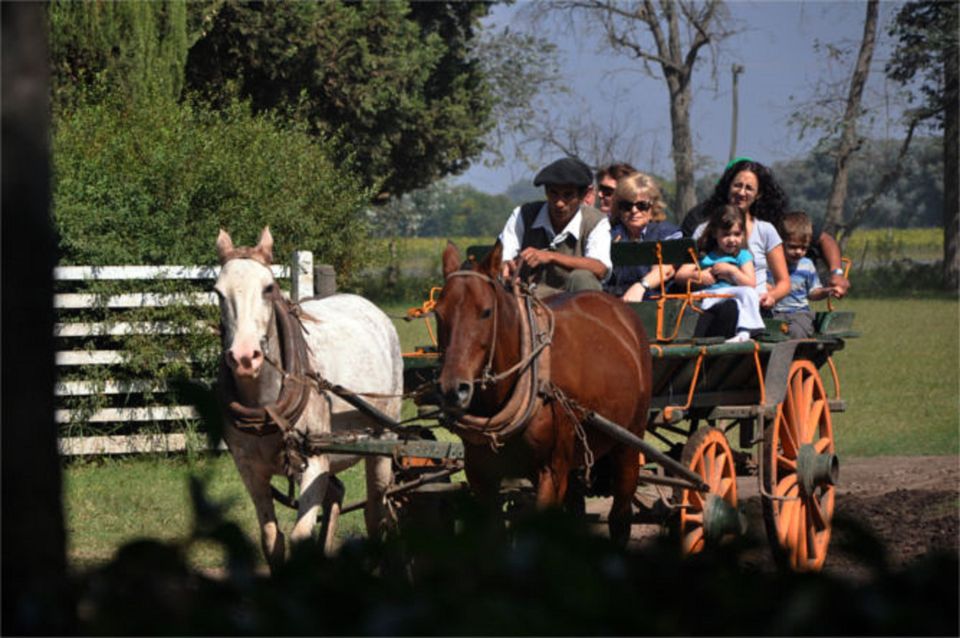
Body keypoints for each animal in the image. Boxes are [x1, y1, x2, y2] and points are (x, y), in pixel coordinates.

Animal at [215, 228, 402, 572]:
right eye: (218, 292)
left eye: (268, 288)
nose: (245, 357)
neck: (266, 405)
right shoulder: (249, 470)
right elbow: (271, 539)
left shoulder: (314, 461)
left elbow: (300, 535)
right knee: (338, 494)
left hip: (384, 441)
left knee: (376, 512)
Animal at [436, 242, 652, 544]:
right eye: (438, 313)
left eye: (486, 311)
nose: (453, 389)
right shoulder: (481, 476)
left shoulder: (551, 472)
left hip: (629, 442)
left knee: (620, 515)